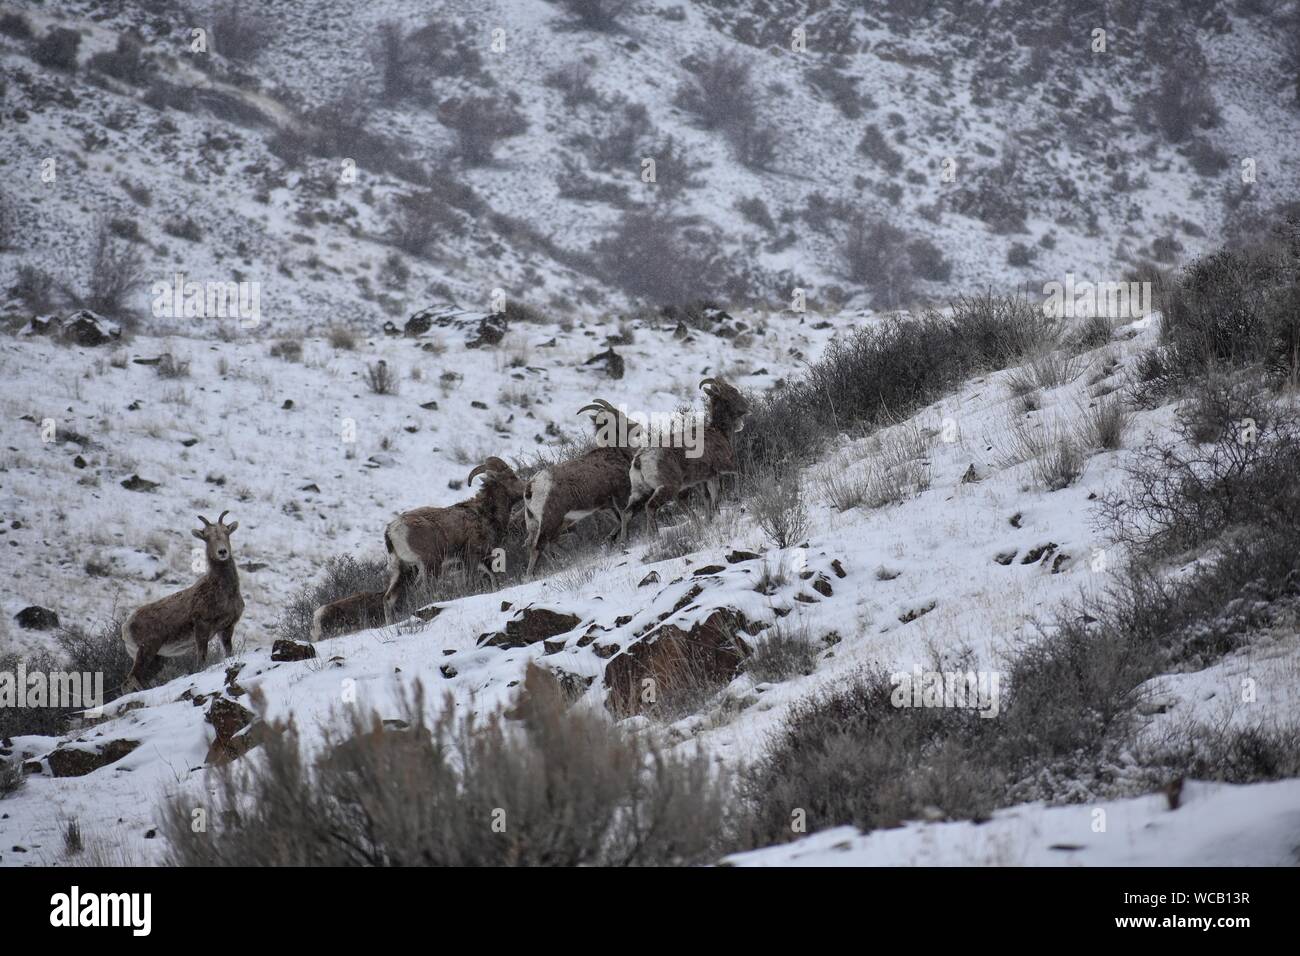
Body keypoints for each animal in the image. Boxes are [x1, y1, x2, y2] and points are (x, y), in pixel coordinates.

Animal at [122, 512, 245, 691]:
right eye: (206, 536)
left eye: (226, 532)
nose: (222, 552)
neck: (225, 594)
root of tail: (125, 627)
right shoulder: (201, 626)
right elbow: (201, 660)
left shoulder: (227, 627)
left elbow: (229, 653)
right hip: (146, 650)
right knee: (131, 679)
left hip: (157, 657)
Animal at [379, 457, 522, 624]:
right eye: (512, 477)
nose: (526, 488)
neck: (484, 513)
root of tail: (392, 530)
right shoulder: (472, 558)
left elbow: (493, 578)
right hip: (429, 565)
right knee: (422, 590)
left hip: (403, 570)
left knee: (388, 598)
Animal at [522, 398, 644, 574]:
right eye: (619, 415)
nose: (638, 428)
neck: (614, 452)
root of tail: (530, 488)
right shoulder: (620, 495)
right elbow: (625, 516)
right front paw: (622, 543)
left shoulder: (605, 505)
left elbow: (618, 521)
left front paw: (608, 541)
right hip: (550, 521)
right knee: (539, 545)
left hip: (536, 523)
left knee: (538, 543)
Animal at [621, 374, 748, 538]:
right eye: (733, 391)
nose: (747, 406)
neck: (718, 431)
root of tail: (639, 460)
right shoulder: (722, 467)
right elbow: (735, 476)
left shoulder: (705, 478)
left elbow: (709, 497)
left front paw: (710, 519)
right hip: (668, 488)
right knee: (650, 507)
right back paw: (655, 536)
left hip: (640, 491)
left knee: (627, 513)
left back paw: (624, 541)